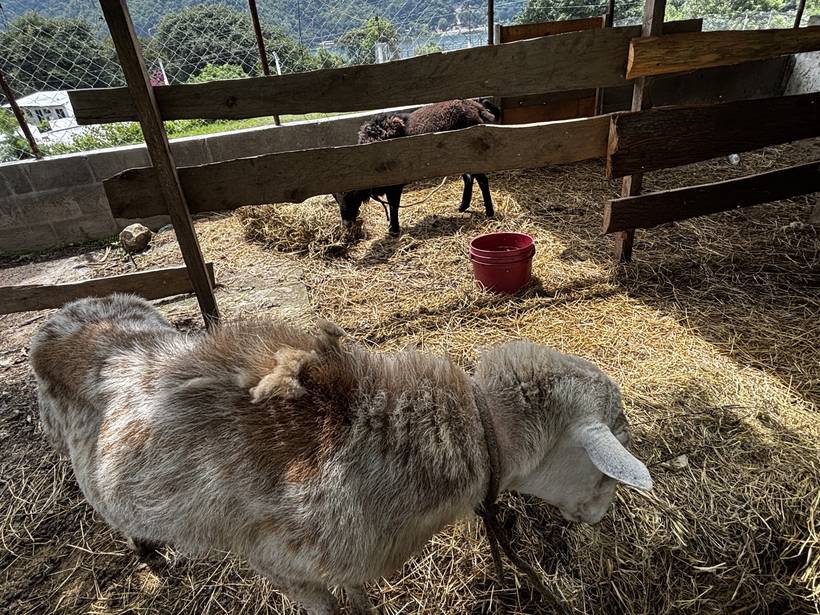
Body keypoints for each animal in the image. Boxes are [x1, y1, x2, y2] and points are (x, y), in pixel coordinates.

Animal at [31, 294, 652, 615]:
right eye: (608, 470)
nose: (602, 516)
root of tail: (67, 312)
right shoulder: (282, 567)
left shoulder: (352, 557)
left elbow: (357, 597)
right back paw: (147, 551)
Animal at [333, 99, 500, 235]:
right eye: (336, 199)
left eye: (351, 196)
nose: (346, 224)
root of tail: (477, 108)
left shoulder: (395, 184)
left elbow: (393, 205)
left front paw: (393, 229)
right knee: (469, 178)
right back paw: (462, 206)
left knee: (482, 181)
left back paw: (489, 211)